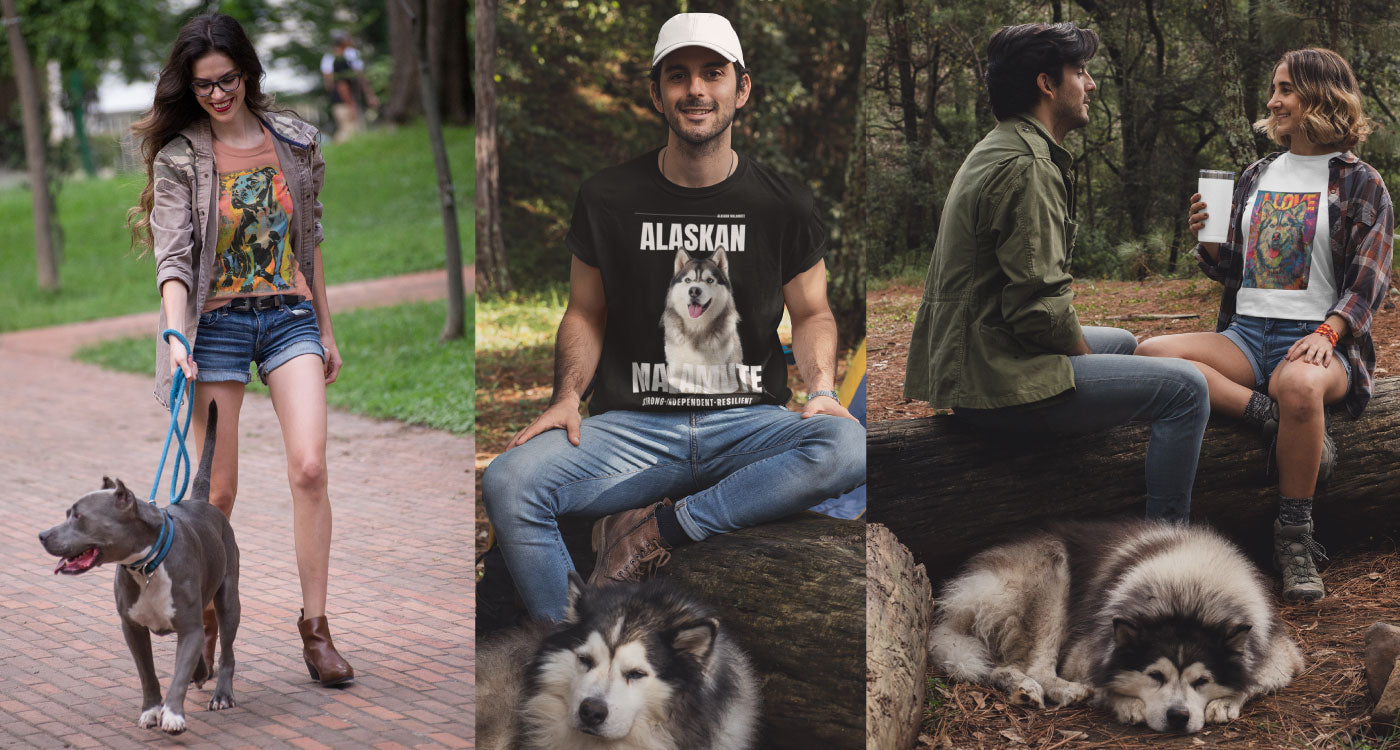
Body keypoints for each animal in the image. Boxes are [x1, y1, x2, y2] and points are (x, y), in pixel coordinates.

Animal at [38, 400, 240, 733]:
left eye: (79, 516)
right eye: (68, 513)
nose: (42, 535)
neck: (146, 566)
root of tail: (200, 501)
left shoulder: (188, 626)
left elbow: (178, 675)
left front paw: (173, 714)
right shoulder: (132, 627)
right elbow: (148, 673)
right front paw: (151, 710)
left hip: (228, 600)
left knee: (227, 651)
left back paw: (222, 694)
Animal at [663, 249, 750, 394]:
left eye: (709, 280)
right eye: (688, 280)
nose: (694, 290)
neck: (696, 327)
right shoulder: (674, 369)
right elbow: (677, 380)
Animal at [929, 520, 1299, 733]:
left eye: (1202, 681)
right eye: (1155, 676)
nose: (1178, 717)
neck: (1188, 595)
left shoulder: (1283, 653)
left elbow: (1256, 678)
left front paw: (1225, 701)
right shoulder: (1084, 653)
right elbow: (1103, 681)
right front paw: (1126, 703)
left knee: (1002, 667)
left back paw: (1023, 688)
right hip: (1053, 571)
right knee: (1032, 666)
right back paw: (1055, 689)